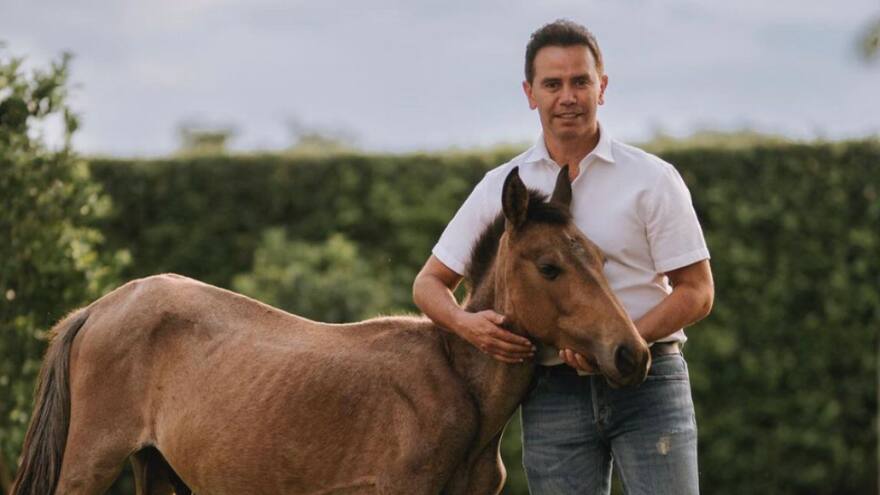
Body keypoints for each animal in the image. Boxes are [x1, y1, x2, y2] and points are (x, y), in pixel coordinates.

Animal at [10, 165, 650, 495]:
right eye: (550, 266)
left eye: (600, 257)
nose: (632, 354)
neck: (457, 386)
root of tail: (99, 308)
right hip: (91, 463)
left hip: (157, 469)